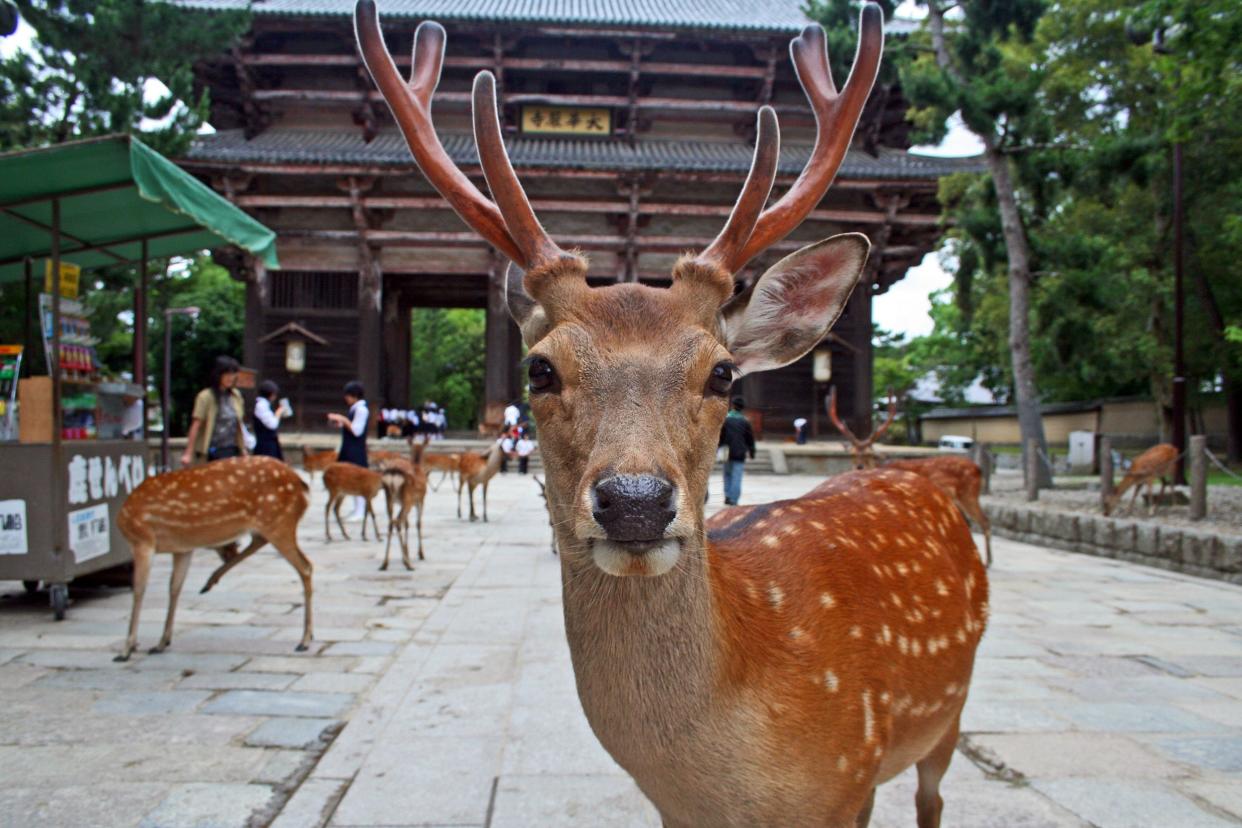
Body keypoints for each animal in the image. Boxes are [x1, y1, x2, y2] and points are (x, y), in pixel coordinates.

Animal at [357, 3, 988, 824]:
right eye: (540, 367)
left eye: (722, 373)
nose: (634, 502)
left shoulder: (847, 778)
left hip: (948, 714)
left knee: (932, 797)